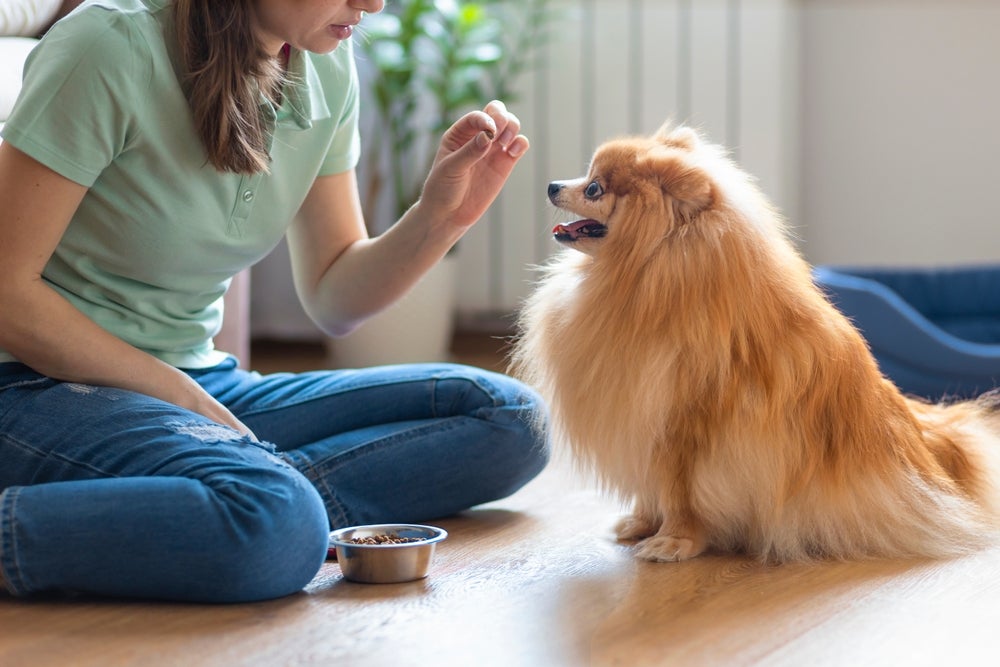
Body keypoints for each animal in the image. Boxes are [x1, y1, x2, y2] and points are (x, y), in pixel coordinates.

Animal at [512, 121, 1000, 564]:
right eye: (585, 176)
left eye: (594, 188)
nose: (554, 185)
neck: (637, 276)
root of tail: (931, 446)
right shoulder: (642, 418)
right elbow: (652, 487)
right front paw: (641, 522)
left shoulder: (681, 427)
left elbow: (678, 493)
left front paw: (674, 542)